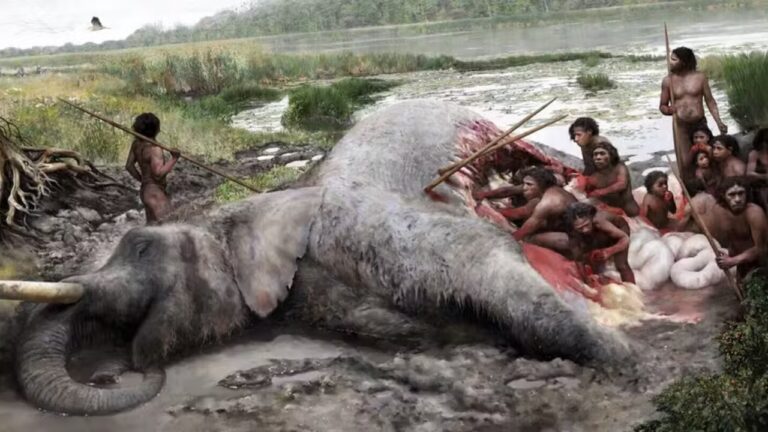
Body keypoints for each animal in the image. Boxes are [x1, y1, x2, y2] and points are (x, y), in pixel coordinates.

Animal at [1, 100, 632, 416]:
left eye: (139, 245)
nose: (112, 372)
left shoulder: (379, 226)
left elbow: (494, 264)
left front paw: (627, 360)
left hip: (498, 132)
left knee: (541, 153)